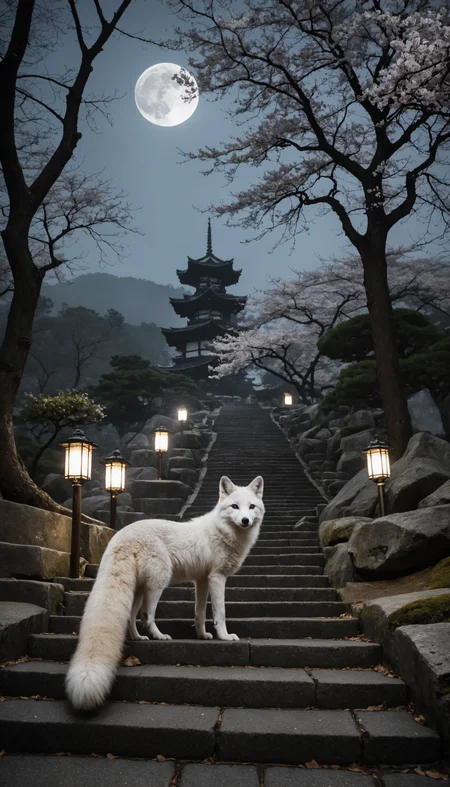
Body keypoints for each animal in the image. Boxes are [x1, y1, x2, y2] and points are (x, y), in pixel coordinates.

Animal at [66, 474, 264, 711]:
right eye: (234, 506)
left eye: (251, 507)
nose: (245, 520)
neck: (223, 531)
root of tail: (120, 536)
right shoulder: (217, 578)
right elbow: (220, 614)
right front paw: (224, 637)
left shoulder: (201, 580)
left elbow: (199, 613)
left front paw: (202, 635)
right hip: (158, 583)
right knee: (147, 616)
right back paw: (159, 636)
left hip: (139, 590)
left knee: (131, 618)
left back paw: (139, 638)